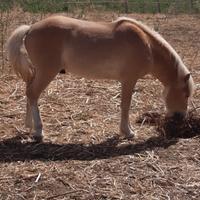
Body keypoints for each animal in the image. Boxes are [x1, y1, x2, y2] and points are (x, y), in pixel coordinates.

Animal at [7, 15, 194, 141]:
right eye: (185, 93)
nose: (181, 116)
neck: (147, 46)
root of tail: (30, 28)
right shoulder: (129, 80)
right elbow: (126, 105)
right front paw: (128, 132)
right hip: (47, 72)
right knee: (33, 94)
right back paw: (39, 131)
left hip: (38, 72)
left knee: (29, 92)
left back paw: (29, 126)